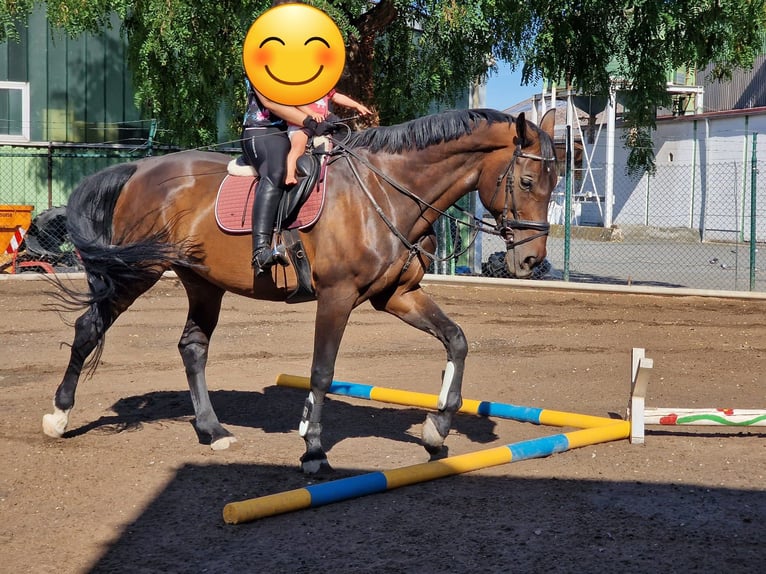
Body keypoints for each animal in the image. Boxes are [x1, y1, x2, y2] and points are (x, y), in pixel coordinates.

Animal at [43, 107, 560, 472]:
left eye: (555, 183)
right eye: (527, 180)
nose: (531, 261)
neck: (386, 192)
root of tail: (137, 169)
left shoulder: (397, 295)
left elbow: (457, 340)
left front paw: (437, 430)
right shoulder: (337, 297)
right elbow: (322, 372)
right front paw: (313, 450)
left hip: (202, 283)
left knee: (192, 347)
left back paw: (212, 429)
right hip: (137, 272)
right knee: (89, 327)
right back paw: (59, 417)